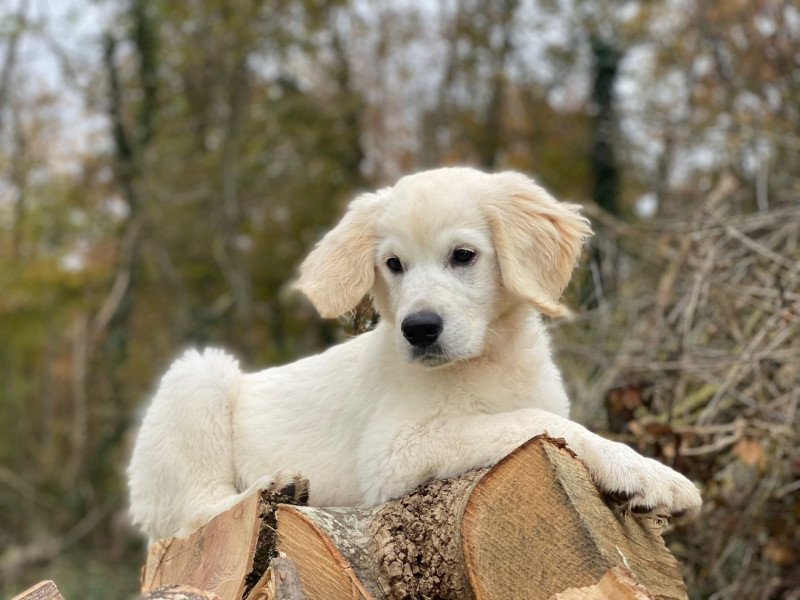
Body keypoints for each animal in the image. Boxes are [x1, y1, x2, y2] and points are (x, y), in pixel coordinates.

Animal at [126, 166, 700, 540]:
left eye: (463, 256)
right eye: (393, 264)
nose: (419, 329)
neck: (487, 358)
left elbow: (547, 418)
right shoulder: (396, 449)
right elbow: (539, 423)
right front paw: (649, 475)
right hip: (198, 378)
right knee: (193, 514)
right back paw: (275, 487)